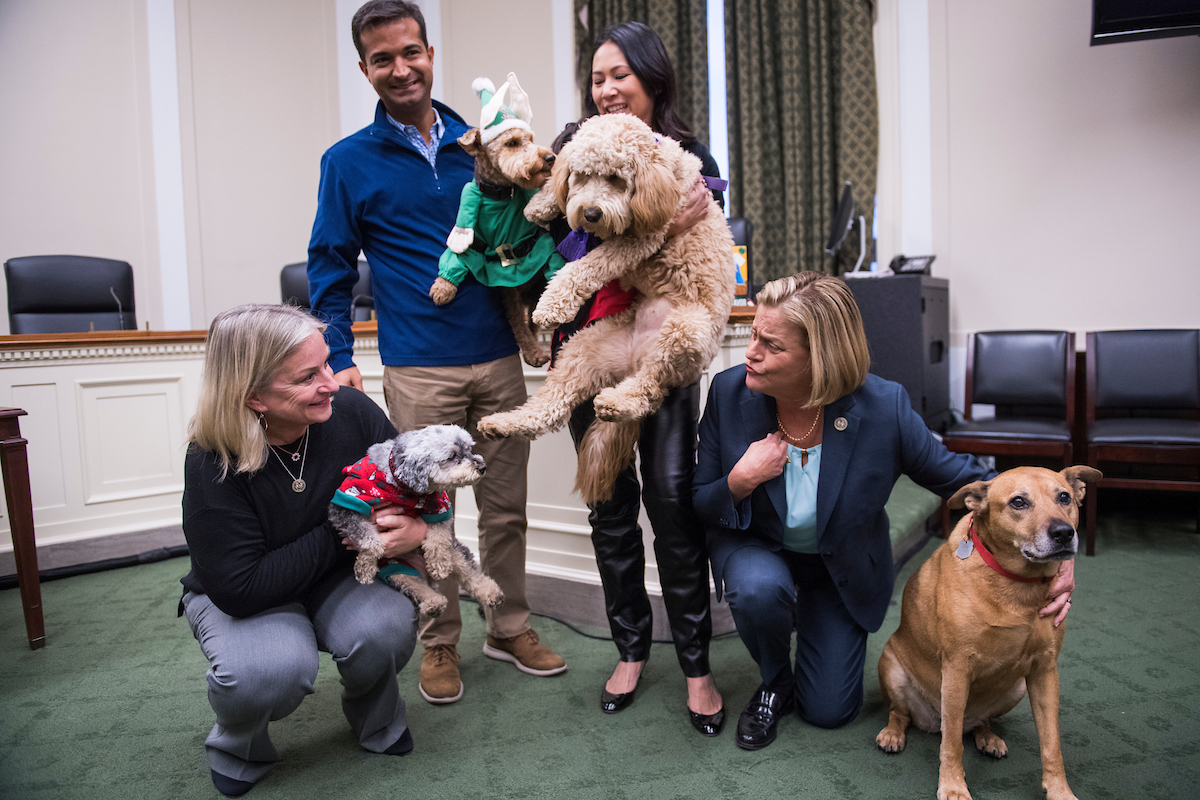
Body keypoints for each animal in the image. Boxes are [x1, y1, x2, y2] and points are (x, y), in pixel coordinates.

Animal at [878, 465, 1099, 796]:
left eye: (1064, 497)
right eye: (1018, 502)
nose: (1063, 533)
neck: (1019, 585)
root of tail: (931, 722)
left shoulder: (1045, 670)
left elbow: (1052, 742)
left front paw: (1059, 791)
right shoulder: (957, 668)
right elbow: (952, 744)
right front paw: (953, 787)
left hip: (1016, 688)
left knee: (979, 722)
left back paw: (988, 738)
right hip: (892, 667)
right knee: (903, 713)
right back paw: (892, 734)